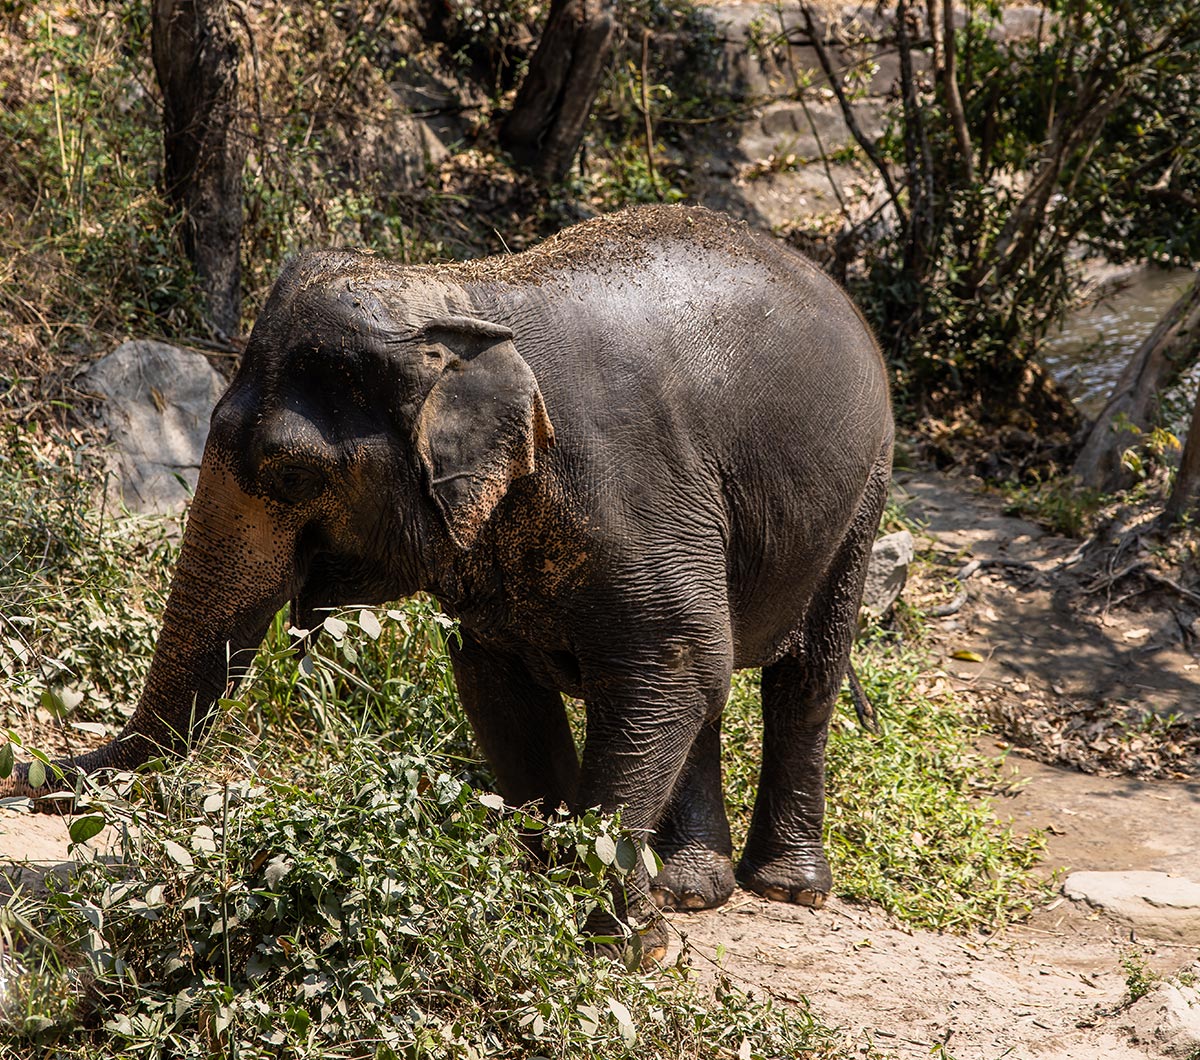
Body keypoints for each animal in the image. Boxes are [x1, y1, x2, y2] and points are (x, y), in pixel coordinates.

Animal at [7, 205, 892, 960]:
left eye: (291, 474)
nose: (36, 780)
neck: (462, 291)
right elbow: (506, 695)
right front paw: (546, 905)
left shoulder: (638, 492)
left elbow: (666, 672)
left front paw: (621, 946)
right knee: (711, 688)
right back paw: (691, 892)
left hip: (866, 491)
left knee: (799, 676)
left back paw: (787, 888)